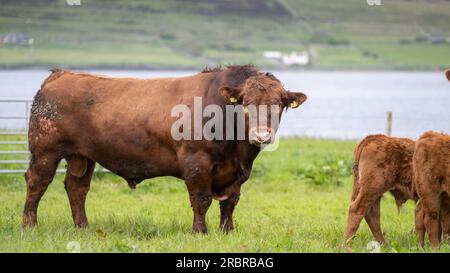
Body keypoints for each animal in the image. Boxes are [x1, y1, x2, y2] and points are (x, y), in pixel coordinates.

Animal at [22, 65, 308, 233]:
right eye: (245, 103)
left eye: (279, 103)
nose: (261, 135)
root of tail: (60, 74)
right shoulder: (196, 162)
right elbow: (201, 199)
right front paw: (200, 232)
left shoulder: (236, 172)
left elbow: (230, 203)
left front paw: (227, 232)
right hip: (45, 150)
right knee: (37, 182)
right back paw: (30, 226)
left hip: (82, 155)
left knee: (77, 188)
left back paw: (83, 227)